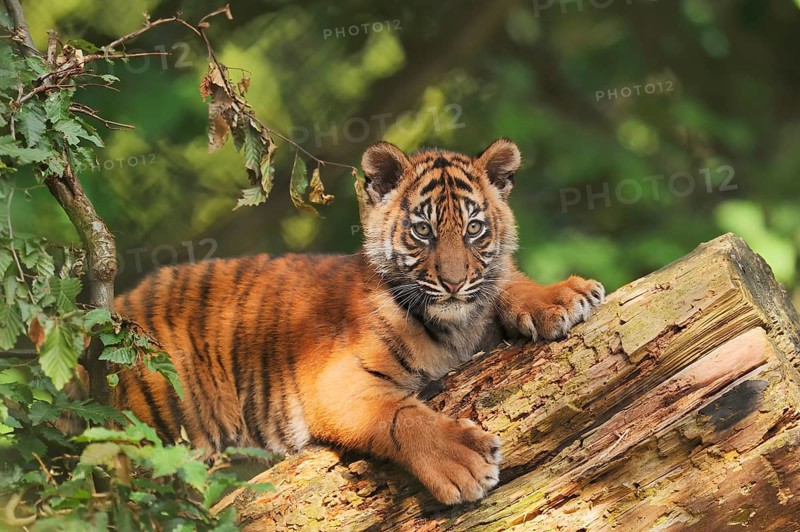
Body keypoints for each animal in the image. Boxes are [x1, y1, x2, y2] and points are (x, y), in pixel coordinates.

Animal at [115, 138, 605, 504]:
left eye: (474, 229)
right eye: (423, 231)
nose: (452, 282)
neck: (456, 326)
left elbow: (505, 282)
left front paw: (563, 296)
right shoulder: (334, 384)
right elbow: (400, 415)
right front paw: (462, 461)